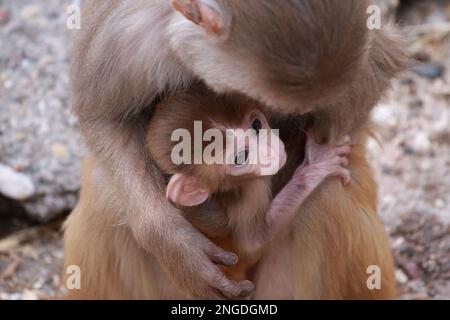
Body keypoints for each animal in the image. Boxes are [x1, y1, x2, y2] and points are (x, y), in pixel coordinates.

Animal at [148, 85, 352, 262]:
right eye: (240, 157)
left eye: (256, 125)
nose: (272, 151)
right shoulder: (252, 191)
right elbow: (252, 245)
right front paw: (318, 165)